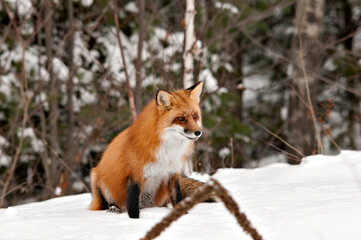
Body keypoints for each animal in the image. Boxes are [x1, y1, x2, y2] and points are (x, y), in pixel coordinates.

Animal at [88, 82, 214, 218]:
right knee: (107, 205)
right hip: (96, 178)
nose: (198, 132)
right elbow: (133, 209)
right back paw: (113, 208)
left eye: (195, 116)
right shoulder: (135, 176)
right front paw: (134, 221)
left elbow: (179, 202)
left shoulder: (172, 174)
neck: (167, 152)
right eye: (181, 118)